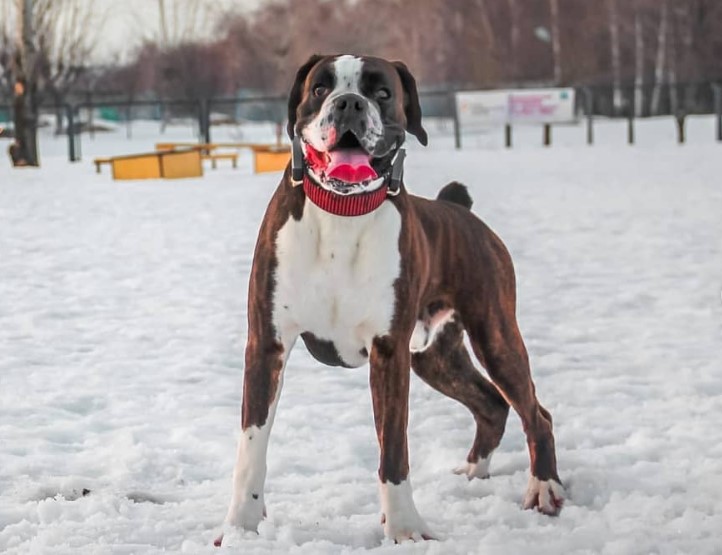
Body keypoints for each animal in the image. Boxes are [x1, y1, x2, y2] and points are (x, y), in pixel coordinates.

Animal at [214, 54, 564, 544]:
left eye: (382, 93)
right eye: (320, 88)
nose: (348, 103)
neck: (342, 210)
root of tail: (459, 209)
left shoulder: (389, 353)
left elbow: (394, 450)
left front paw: (404, 530)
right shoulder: (267, 346)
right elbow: (251, 447)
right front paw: (240, 529)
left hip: (495, 338)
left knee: (535, 413)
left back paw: (544, 487)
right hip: (436, 357)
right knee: (492, 405)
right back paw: (473, 473)